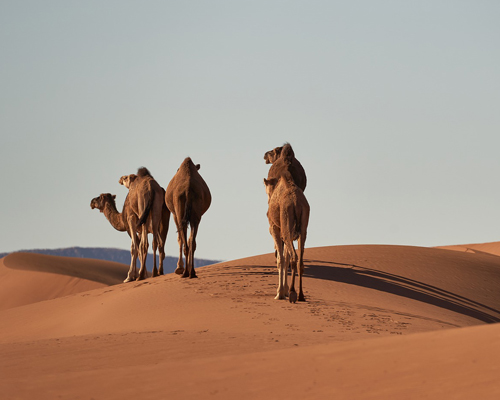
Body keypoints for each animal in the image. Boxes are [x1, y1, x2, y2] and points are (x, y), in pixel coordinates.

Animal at [262, 173, 308, 304]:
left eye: (266, 191)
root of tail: (296, 202)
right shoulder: (288, 233)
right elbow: (285, 259)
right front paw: (285, 291)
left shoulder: (275, 229)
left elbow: (280, 260)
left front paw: (280, 293)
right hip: (302, 228)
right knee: (299, 259)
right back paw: (301, 295)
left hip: (286, 222)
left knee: (294, 257)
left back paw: (293, 293)